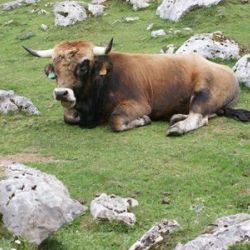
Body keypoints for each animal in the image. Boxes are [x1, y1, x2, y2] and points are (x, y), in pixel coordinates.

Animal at [23, 38, 250, 135]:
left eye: (84, 65)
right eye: (55, 67)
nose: (61, 93)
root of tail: (226, 70)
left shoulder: (138, 104)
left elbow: (115, 121)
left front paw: (141, 121)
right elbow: (68, 117)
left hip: (204, 92)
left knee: (199, 117)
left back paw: (177, 127)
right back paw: (177, 116)